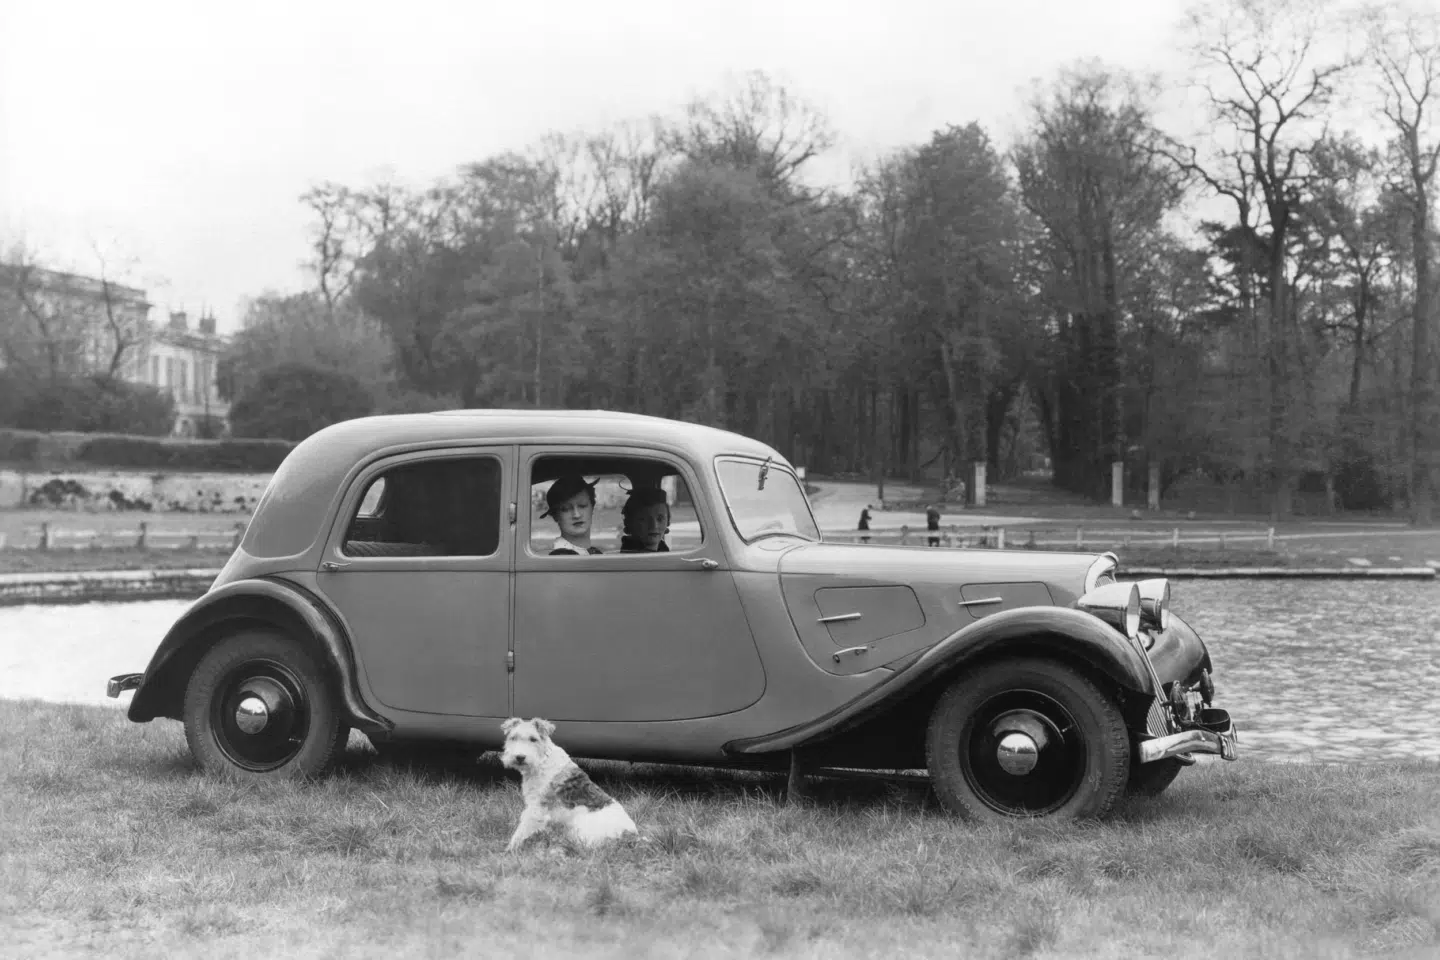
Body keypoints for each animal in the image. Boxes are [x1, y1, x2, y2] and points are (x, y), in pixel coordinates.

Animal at [501, 716, 636, 852]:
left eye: (533, 739)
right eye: (513, 737)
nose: (519, 757)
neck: (542, 759)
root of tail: (631, 836)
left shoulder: (537, 808)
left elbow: (520, 832)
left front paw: (509, 850)